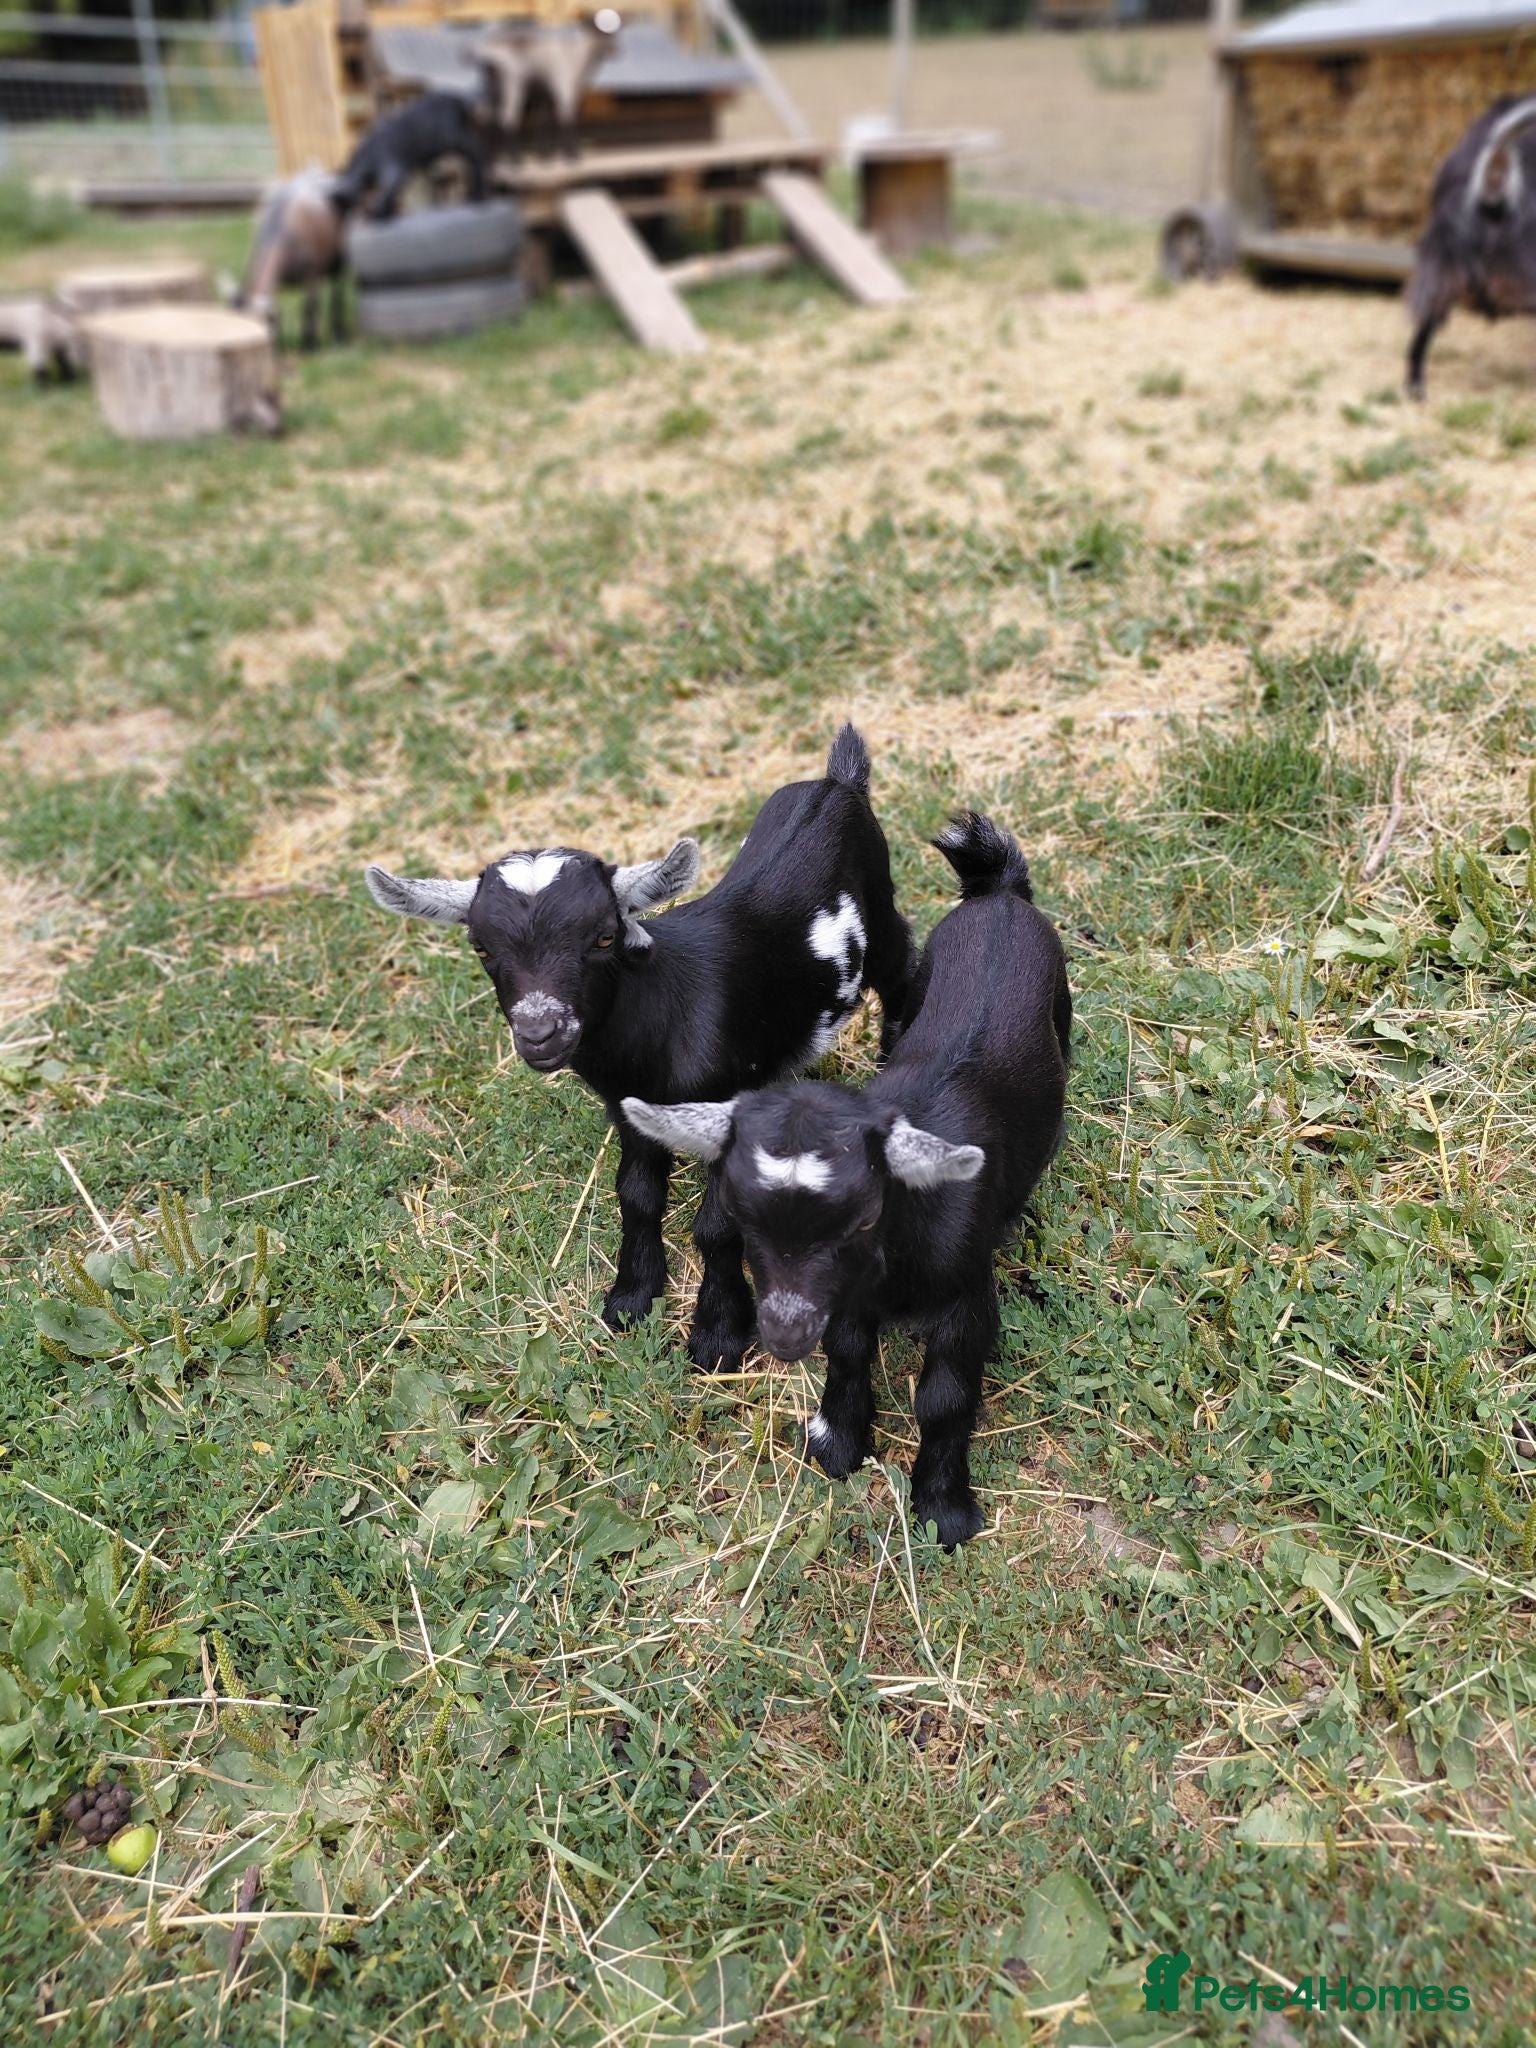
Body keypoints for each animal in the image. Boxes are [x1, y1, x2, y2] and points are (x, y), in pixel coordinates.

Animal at [234, 169, 349, 350]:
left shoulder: (311, 276)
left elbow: (308, 307)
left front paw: (309, 343)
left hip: (339, 262)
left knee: (337, 295)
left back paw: (339, 334)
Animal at [333, 91, 487, 222]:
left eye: (344, 205)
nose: (343, 219)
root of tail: (459, 99)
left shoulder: (393, 167)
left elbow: (387, 193)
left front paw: (381, 216)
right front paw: (387, 214)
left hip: (451, 137)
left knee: (476, 151)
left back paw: (477, 194)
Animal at [365, 726, 915, 1373]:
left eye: (604, 936)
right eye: (480, 945)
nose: (540, 1033)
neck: (667, 1009)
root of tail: (837, 783)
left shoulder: (725, 1105)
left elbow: (717, 1226)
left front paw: (717, 1335)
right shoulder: (628, 1108)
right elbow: (637, 1195)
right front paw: (631, 1296)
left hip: (881, 914)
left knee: (904, 968)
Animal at [624, 812, 1071, 1548]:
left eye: (862, 1216)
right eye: (744, 1218)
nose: (780, 1336)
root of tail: (1001, 895)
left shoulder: (965, 1298)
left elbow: (945, 1398)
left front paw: (943, 1510)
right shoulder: (849, 1300)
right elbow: (848, 1350)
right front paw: (838, 1441)